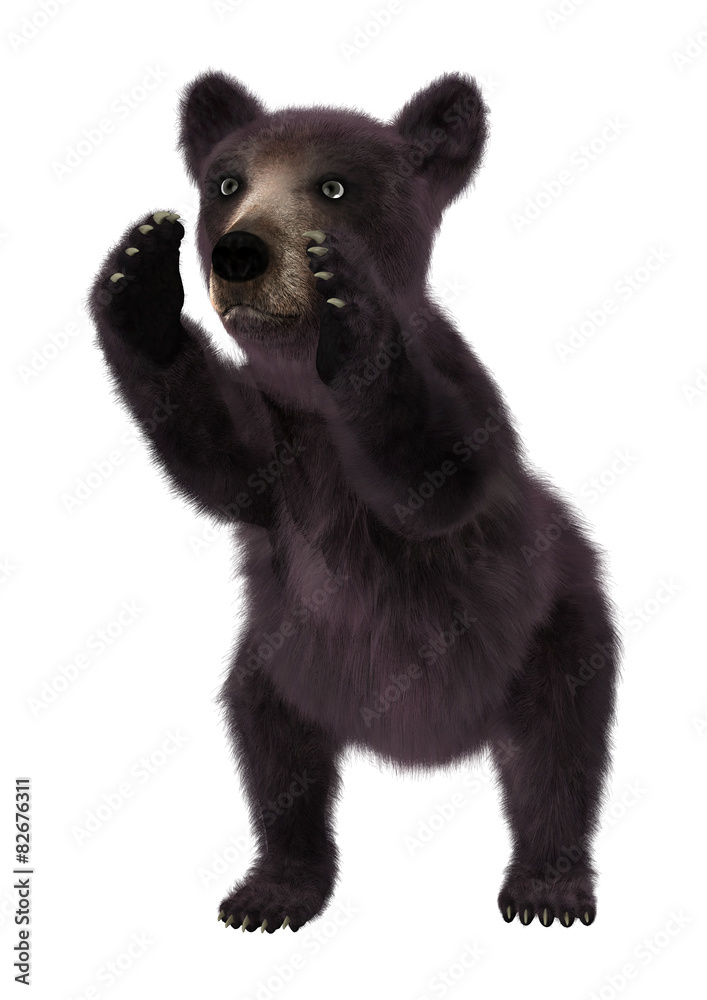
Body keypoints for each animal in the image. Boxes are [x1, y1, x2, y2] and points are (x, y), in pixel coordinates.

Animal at [88, 70, 620, 932]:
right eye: (227, 183)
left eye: (333, 186)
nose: (241, 250)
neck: (311, 395)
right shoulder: (282, 455)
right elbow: (214, 457)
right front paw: (139, 278)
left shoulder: (459, 412)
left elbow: (431, 477)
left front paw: (350, 307)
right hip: (283, 657)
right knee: (274, 756)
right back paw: (274, 886)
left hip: (549, 632)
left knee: (556, 754)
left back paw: (548, 883)